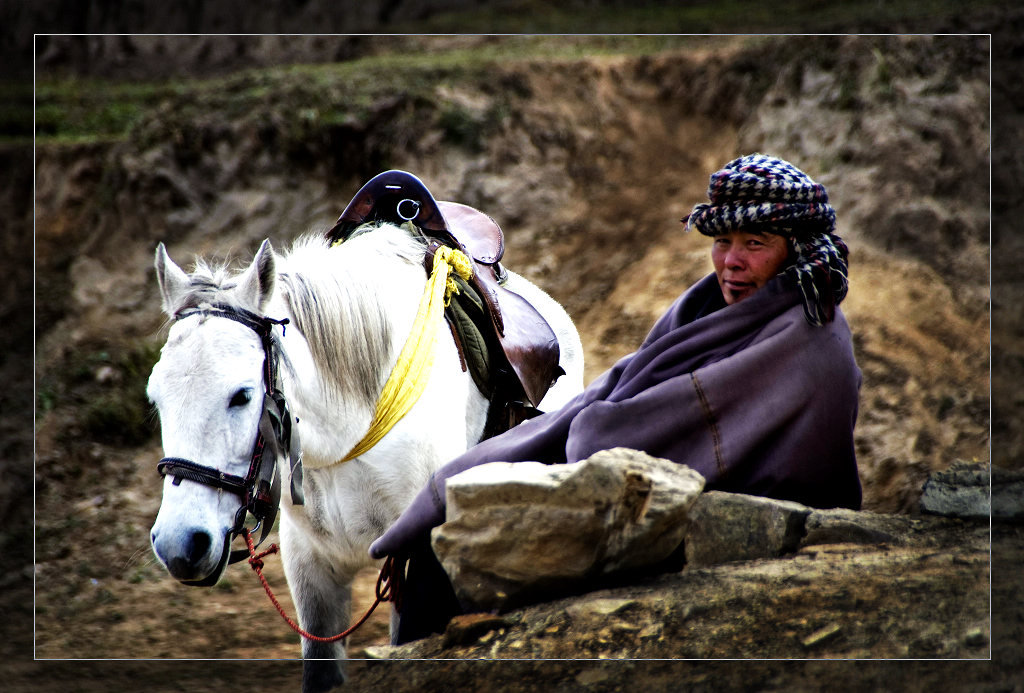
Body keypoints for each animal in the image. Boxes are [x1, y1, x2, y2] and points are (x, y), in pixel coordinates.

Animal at [149, 224, 589, 687]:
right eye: (155, 398)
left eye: (242, 395)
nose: (180, 543)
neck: (346, 434)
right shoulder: (310, 566)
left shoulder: (412, 561)